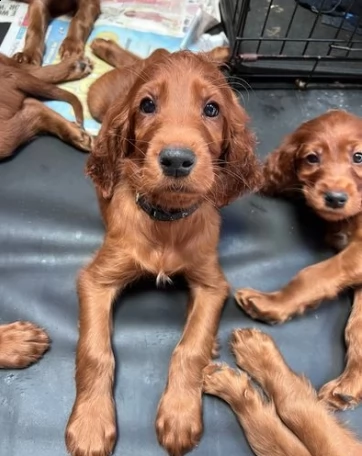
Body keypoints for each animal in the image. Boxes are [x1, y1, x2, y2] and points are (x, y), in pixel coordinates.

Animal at [235, 111, 362, 414]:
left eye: (359, 157)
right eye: (312, 158)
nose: (335, 199)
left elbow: (315, 274)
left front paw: (271, 303)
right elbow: (357, 326)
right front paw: (349, 384)